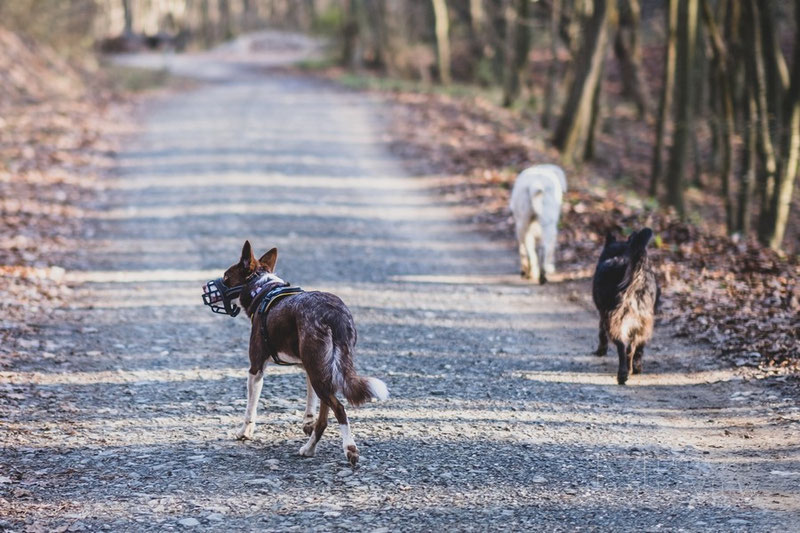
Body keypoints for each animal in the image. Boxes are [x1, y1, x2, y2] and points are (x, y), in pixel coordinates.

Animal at [211, 241, 390, 466]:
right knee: (324, 417)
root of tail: (334, 315)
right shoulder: (308, 367)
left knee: (339, 408)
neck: (262, 288)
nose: (204, 288)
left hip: (319, 371)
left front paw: (244, 432)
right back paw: (310, 448)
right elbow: (310, 402)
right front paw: (307, 423)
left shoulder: (256, 368)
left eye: (226, 277)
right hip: (322, 369)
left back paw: (349, 448)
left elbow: (250, 408)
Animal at [592, 227, 660, 384]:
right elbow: (639, 348)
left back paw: (622, 374)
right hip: (642, 322)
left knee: (622, 347)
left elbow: (601, 333)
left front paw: (601, 350)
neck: (620, 253)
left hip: (615, 320)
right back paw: (632, 369)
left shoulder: (603, 314)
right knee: (632, 348)